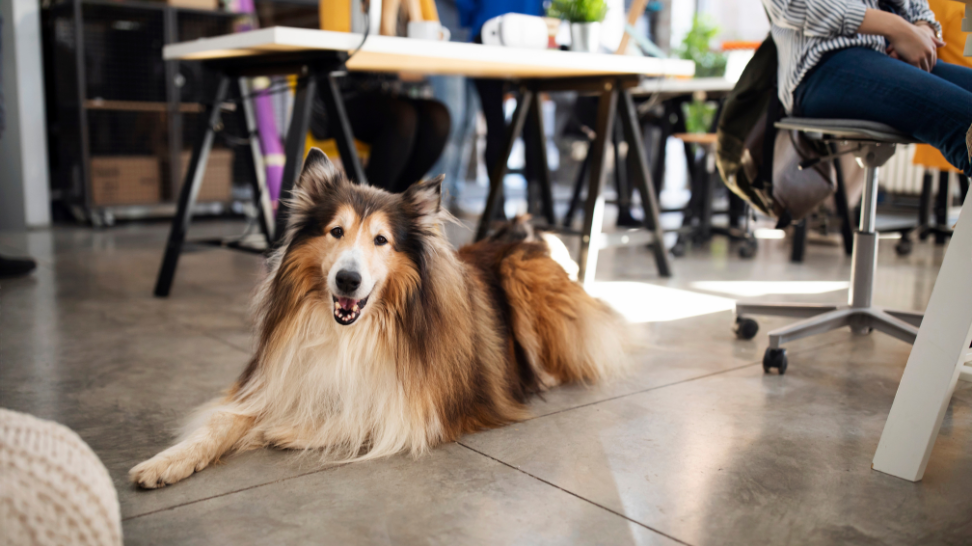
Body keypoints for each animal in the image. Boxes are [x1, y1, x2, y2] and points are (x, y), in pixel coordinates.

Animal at [129, 147, 632, 486]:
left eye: (381, 240)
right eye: (336, 231)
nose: (347, 281)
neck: (355, 332)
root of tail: (523, 239)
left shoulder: (421, 407)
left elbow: (361, 414)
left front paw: (284, 429)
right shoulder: (275, 378)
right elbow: (222, 421)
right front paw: (166, 461)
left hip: (521, 275)